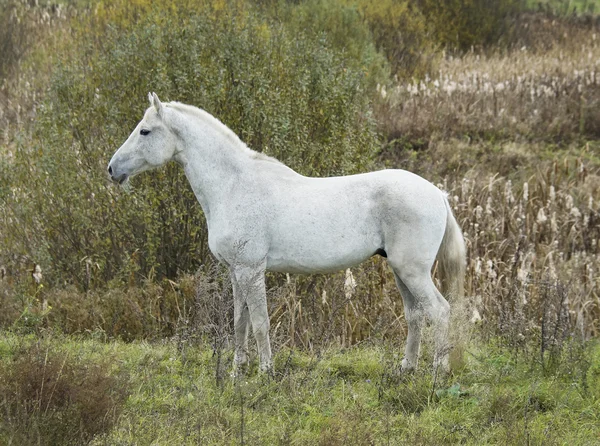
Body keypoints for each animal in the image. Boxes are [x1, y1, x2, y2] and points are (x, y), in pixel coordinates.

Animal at [108, 93, 466, 372]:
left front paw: (265, 371)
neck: (233, 185)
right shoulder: (236, 272)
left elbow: (260, 323)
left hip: (412, 271)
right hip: (399, 271)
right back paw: (406, 369)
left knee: (439, 312)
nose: (112, 169)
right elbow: (239, 323)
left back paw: (438, 371)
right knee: (415, 315)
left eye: (145, 131)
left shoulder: (252, 270)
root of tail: (438, 194)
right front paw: (238, 371)